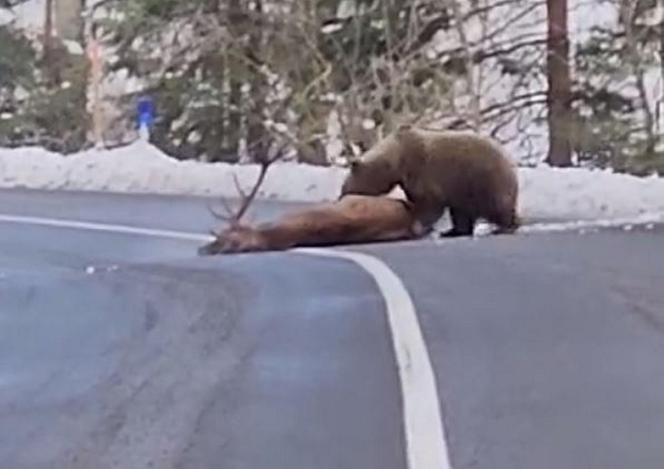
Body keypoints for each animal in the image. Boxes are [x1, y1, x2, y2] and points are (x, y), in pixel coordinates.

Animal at [340, 124, 520, 236]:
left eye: (344, 186)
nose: (340, 197)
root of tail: (509, 161)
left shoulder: (423, 171)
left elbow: (430, 203)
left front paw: (418, 225)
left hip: (485, 180)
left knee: (497, 206)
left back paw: (504, 227)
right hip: (465, 189)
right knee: (461, 212)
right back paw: (452, 232)